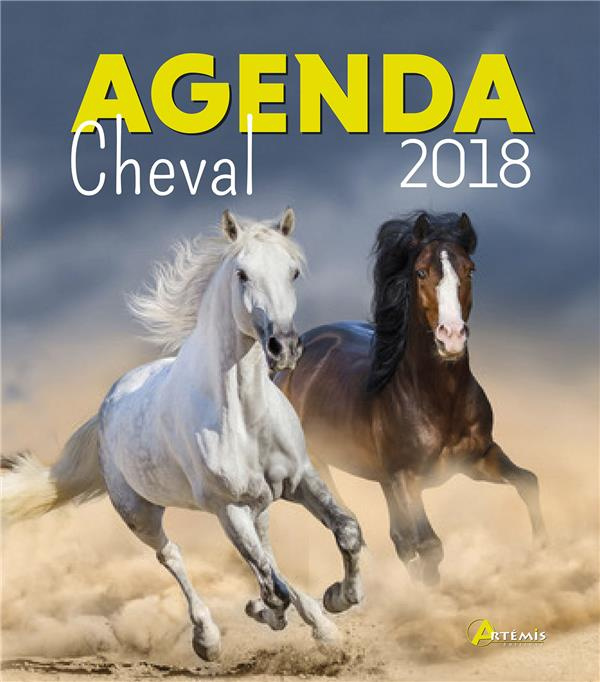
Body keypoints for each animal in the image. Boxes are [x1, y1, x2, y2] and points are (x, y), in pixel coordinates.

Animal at [1, 209, 364, 661]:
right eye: (242, 274)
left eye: (293, 272)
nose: (284, 347)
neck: (244, 418)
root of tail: (108, 404)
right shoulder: (227, 508)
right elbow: (270, 584)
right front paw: (269, 613)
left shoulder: (300, 479)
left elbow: (346, 532)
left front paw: (338, 599)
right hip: (139, 513)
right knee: (172, 556)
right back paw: (207, 639)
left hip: (259, 504)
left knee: (266, 553)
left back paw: (317, 624)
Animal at [276, 211, 547, 585]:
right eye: (420, 272)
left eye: (470, 269)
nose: (451, 337)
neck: (438, 399)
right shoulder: (407, 478)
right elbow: (429, 545)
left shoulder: (477, 459)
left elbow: (527, 482)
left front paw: (541, 554)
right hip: (319, 466)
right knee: (351, 523)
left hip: (383, 479)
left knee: (399, 538)